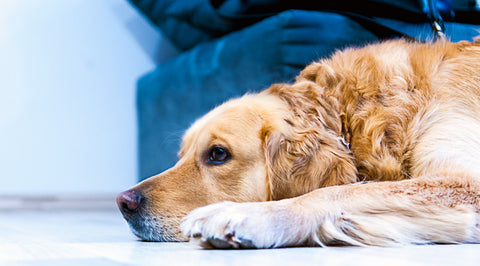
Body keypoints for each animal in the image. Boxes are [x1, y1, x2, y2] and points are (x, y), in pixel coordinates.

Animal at [117, 38, 480, 248]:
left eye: (218, 154)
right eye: (180, 155)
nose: (124, 202)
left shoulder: (466, 183)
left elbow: (335, 192)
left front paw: (243, 215)